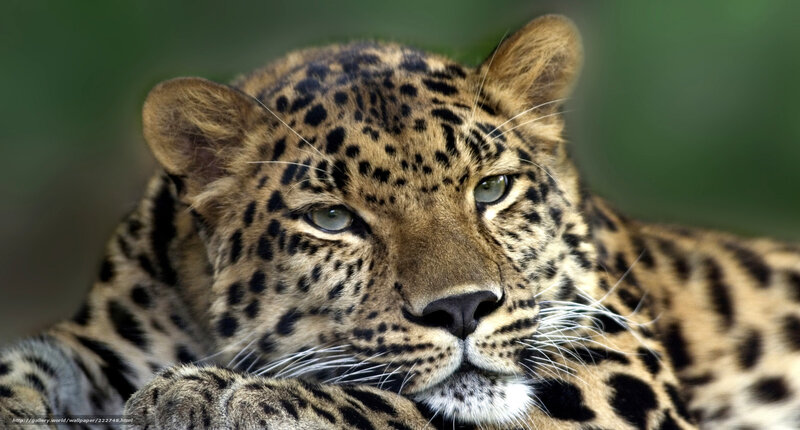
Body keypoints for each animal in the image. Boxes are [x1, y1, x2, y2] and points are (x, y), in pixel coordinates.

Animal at [1, 14, 799, 429]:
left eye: (492, 189)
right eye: (332, 219)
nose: (463, 309)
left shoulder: (618, 362)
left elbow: (398, 404)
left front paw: (225, 396)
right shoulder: (103, 341)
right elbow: (27, 360)